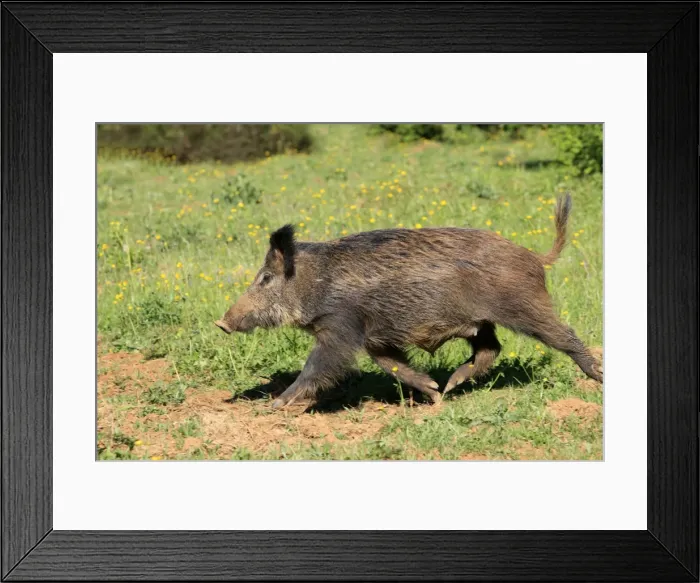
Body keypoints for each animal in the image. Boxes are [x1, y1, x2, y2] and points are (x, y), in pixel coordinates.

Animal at [215, 193, 603, 410]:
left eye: (266, 278)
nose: (221, 322)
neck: (317, 283)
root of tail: (534, 256)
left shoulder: (341, 328)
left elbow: (318, 366)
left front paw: (274, 406)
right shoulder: (374, 338)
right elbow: (393, 365)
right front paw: (432, 394)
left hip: (524, 307)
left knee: (563, 335)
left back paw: (598, 377)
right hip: (481, 322)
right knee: (491, 348)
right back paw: (451, 385)